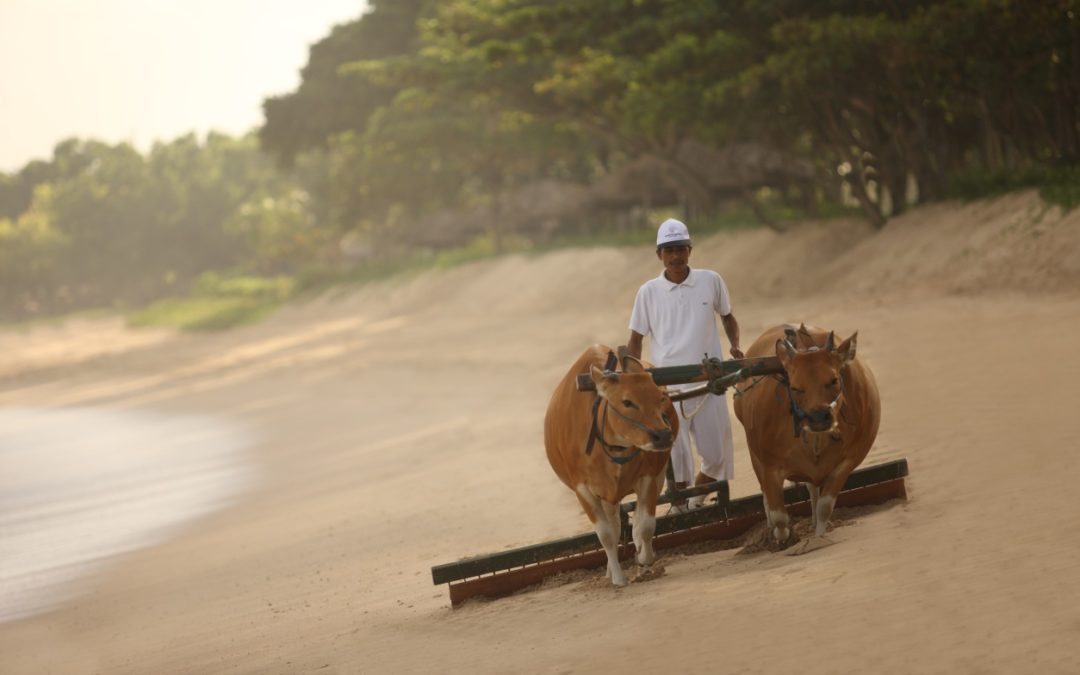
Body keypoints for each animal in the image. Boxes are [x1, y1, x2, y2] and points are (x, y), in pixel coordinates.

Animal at [544, 341, 678, 583]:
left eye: (661, 397)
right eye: (627, 402)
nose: (663, 436)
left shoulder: (648, 477)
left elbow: (645, 526)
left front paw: (644, 559)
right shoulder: (582, 489)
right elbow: (606, 535)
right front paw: (618, 578)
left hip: (659, 473)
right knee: (614, 528)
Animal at [730, 321, 881, 548]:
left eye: (833, 380)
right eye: (795, 387)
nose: (818, 417)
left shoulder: (848, 461)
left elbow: (825, 506)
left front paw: (820, 535)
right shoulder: (769, 466)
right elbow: (779, 516)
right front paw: (781, 538)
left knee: (812, 489)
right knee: (766, 496)